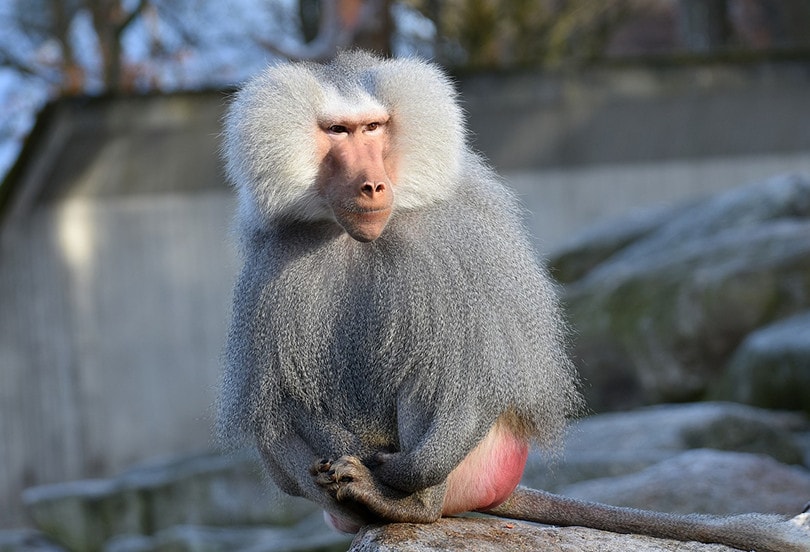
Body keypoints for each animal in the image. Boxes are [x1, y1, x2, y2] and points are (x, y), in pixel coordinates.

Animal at [217, 51, 810, 552]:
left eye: (374, 128)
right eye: (337, 131)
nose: (372, 187)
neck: (363, 237)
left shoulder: (461, 246)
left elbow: (477, 373)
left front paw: (393, 475)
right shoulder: (274, 267)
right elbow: (286, 400)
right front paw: (339, 463)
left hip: (485, 460)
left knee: (436, 368)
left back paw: (401, 502)